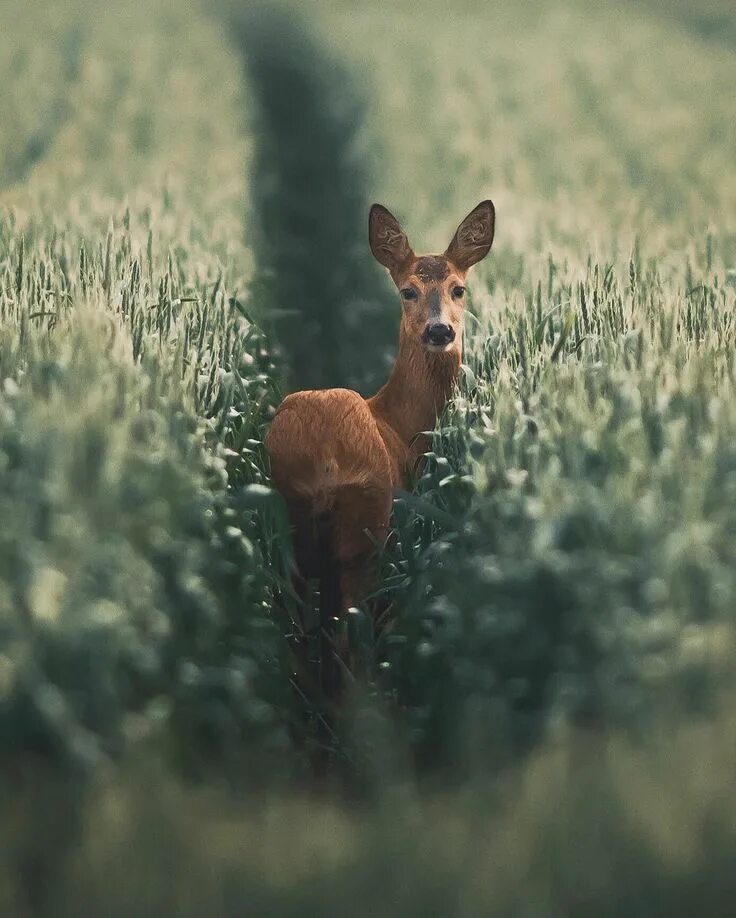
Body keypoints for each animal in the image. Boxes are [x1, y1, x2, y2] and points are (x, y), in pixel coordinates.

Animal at [264, 201, 494, 696]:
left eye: (459, 289)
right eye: (408, 291)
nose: (440, 331)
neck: (398, 425)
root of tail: (326, 458)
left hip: (287, 525)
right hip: (366, 524)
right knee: (348, 633)